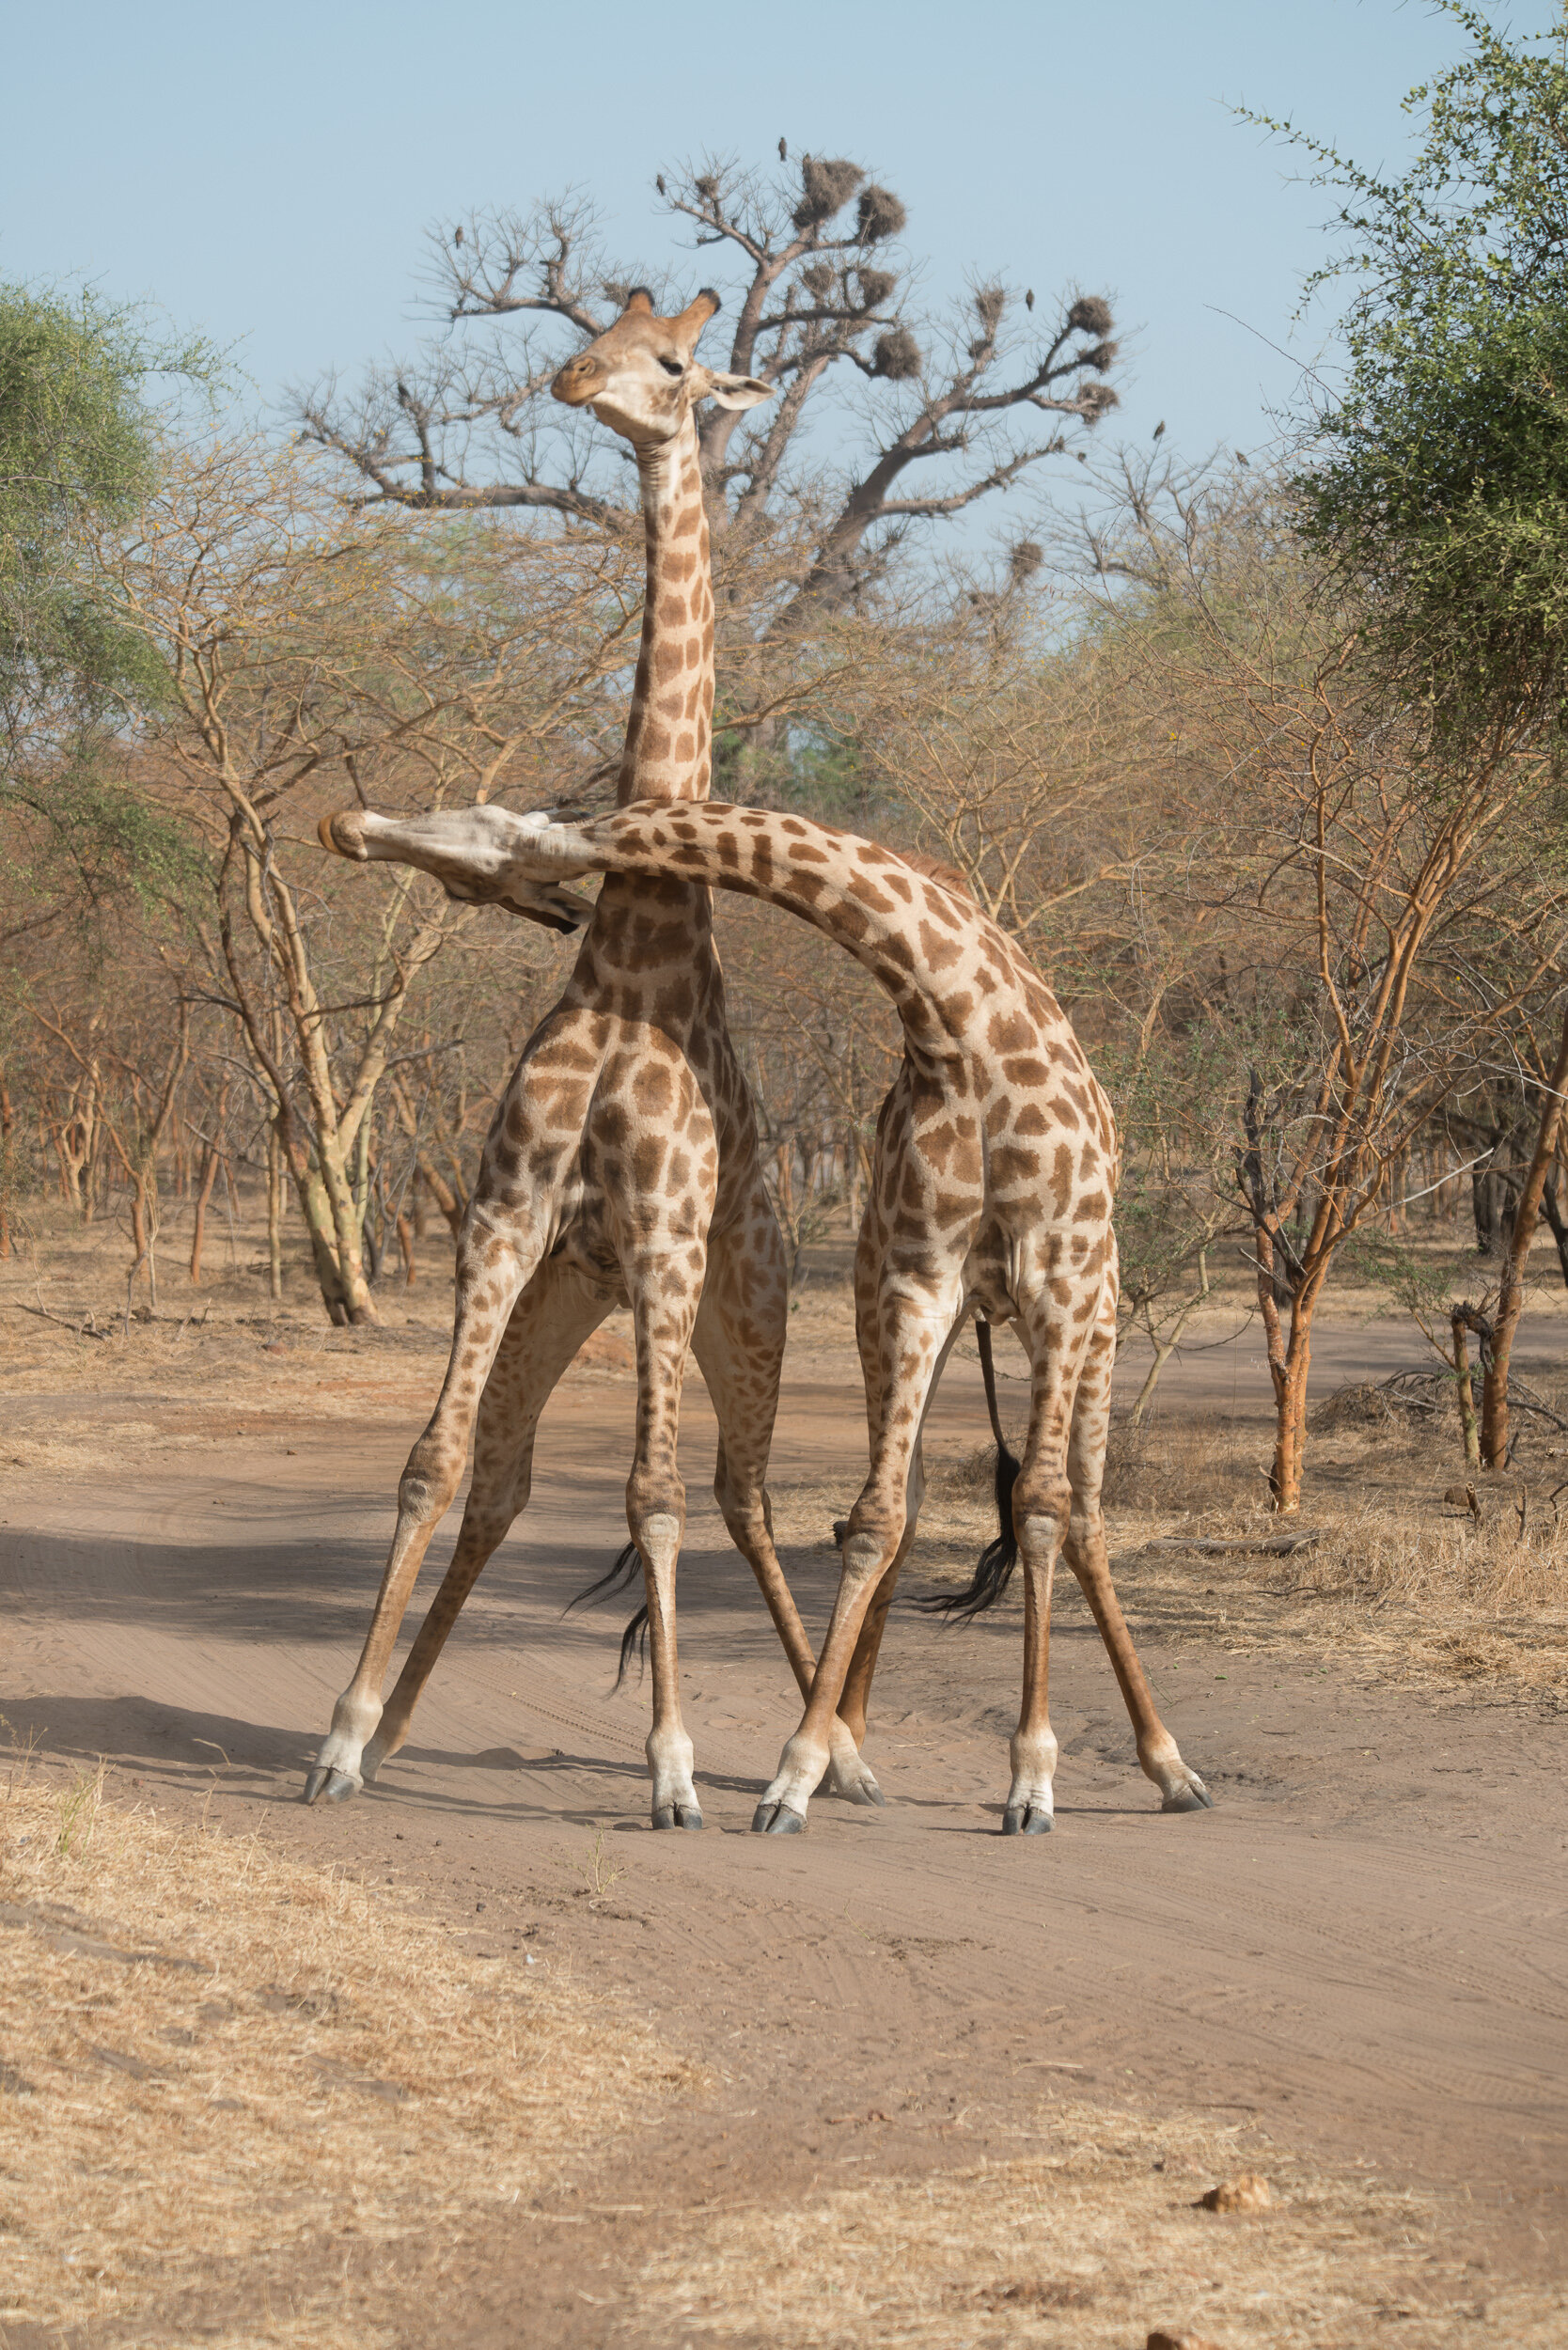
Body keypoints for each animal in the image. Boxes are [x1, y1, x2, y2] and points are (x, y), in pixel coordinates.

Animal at [303, 293, 884, 1824]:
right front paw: (342, 1736)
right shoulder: (504, 1222)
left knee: (740, 1494)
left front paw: (673, 1770)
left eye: (673, 361)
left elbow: (654, 1496)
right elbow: (434, 1465)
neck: (633, 953)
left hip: (742, 1306)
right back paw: (397, 1723)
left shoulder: (670, 1244)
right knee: (507, 1485)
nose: (576, 382)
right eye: (607, 329)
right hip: (570, 1298)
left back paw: (839, 1759)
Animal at [320, 794, 1222, 1833]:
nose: (349, 827)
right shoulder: (920, 1277)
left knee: (1081, 1513)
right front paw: (799, 1769)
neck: (961, 1024)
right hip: (900, 1310)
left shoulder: (1058, 1276)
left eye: (480, 844)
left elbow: (1039, 1506)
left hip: (1095, 1317)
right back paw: (857, 1735)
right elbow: (874, 1517)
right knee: (916, 1497)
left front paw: (1031, 1781)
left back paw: (1171, 1766)